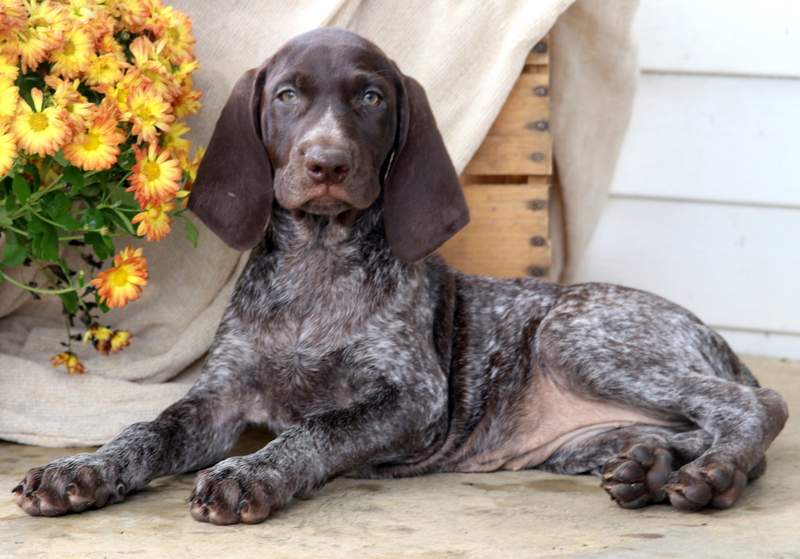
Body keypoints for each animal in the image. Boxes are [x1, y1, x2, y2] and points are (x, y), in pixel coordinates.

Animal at [12, 26, 788, 524]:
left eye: (372, 98)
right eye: (287, 95)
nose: (326, 163)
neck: (319, 263)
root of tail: (715, 339)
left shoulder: (412, 396)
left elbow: (317, 429)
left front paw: (249, 474)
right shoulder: (219, 397)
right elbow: (148, 429)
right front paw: (80, 470)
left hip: (578, 337)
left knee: (757, 405)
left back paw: (711, 476)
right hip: (585, 436)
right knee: (695, 425)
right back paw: (649, 467)